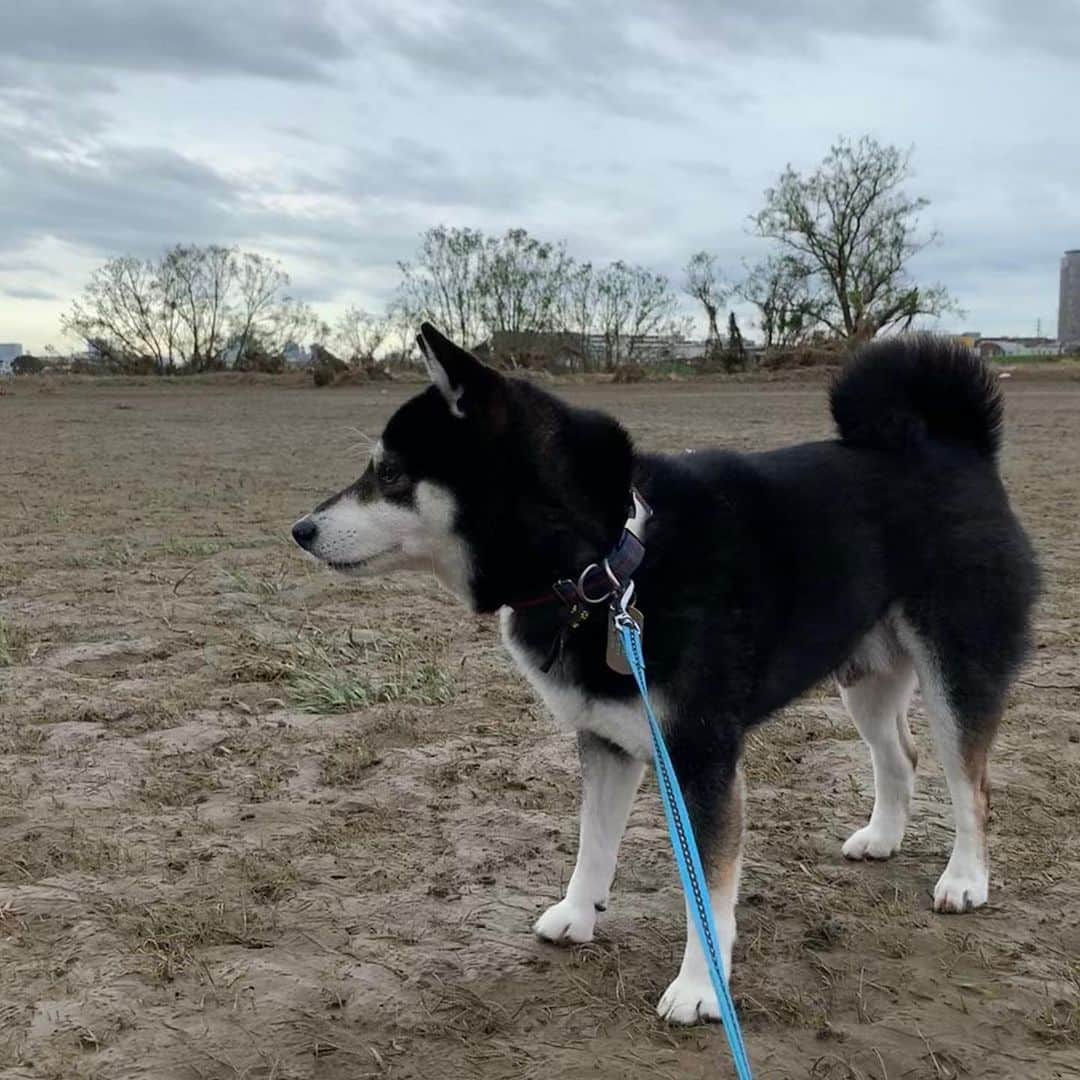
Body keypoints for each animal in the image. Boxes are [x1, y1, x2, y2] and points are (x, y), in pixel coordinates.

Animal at [289, 324, 1036, 1023]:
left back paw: (965, 878)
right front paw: (578, 914)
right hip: (866, 681)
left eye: (389, 475)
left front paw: (701, 988)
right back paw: (881, 839)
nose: (299, 530)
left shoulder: (701, 755)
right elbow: (594, 842)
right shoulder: (608, 739)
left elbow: (707, 888)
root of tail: (958, 450)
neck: (606, 565)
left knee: (971, 786)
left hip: (955, 669)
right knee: (900, 757)